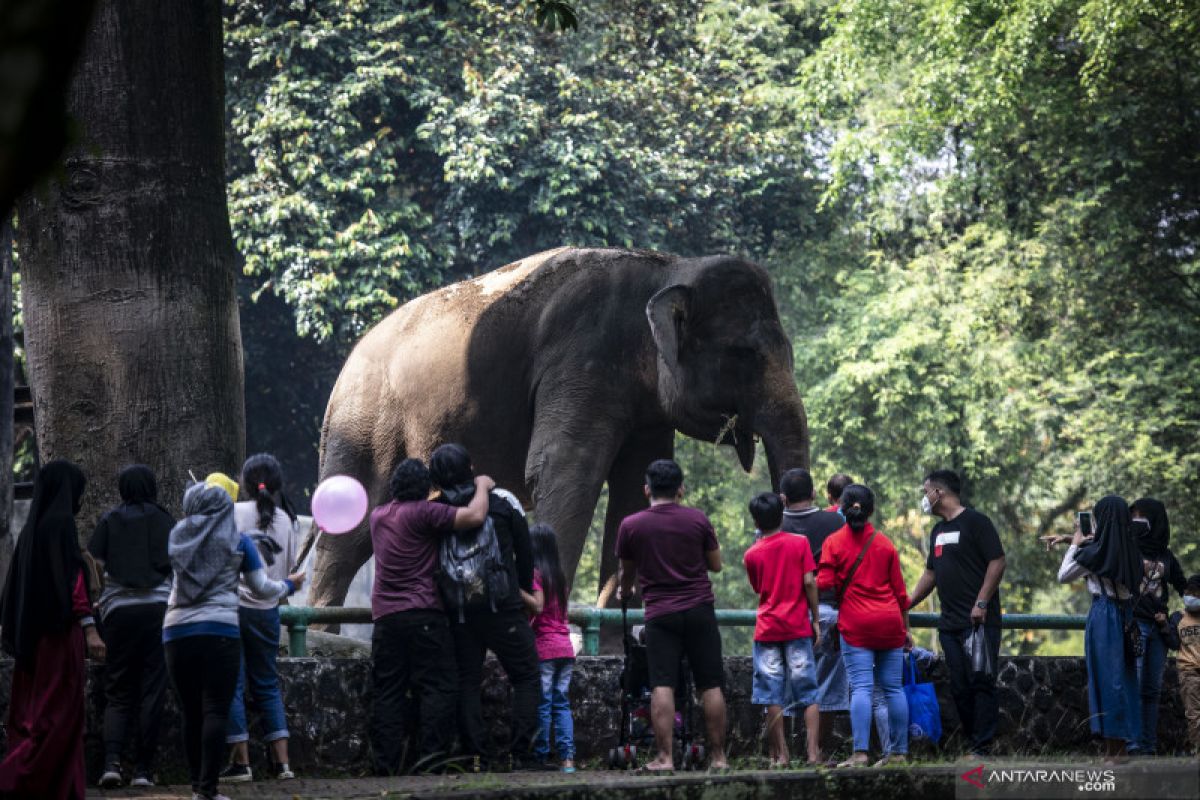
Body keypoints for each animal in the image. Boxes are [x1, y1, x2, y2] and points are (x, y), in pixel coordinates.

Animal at [304, 247, 811, 609]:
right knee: (349, 530)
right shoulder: (581, 361)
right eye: (745, 355)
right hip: (364, 420)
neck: (667, 267)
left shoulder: (645, 405)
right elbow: (563, 473)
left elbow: (634, 491)